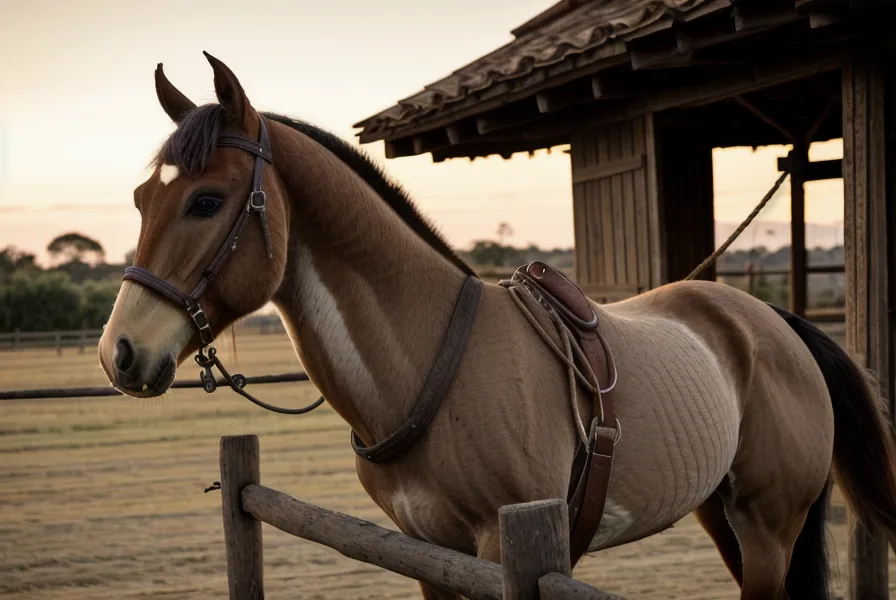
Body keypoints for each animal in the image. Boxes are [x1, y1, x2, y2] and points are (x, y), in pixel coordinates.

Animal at [97, 52, 896, 599]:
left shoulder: (499, 551)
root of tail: (776, 325)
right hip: (722, 514)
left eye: (205, 201)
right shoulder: (428, 555)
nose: (120, 353)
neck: (428, 362)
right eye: (140, 199)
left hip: (769, 525)